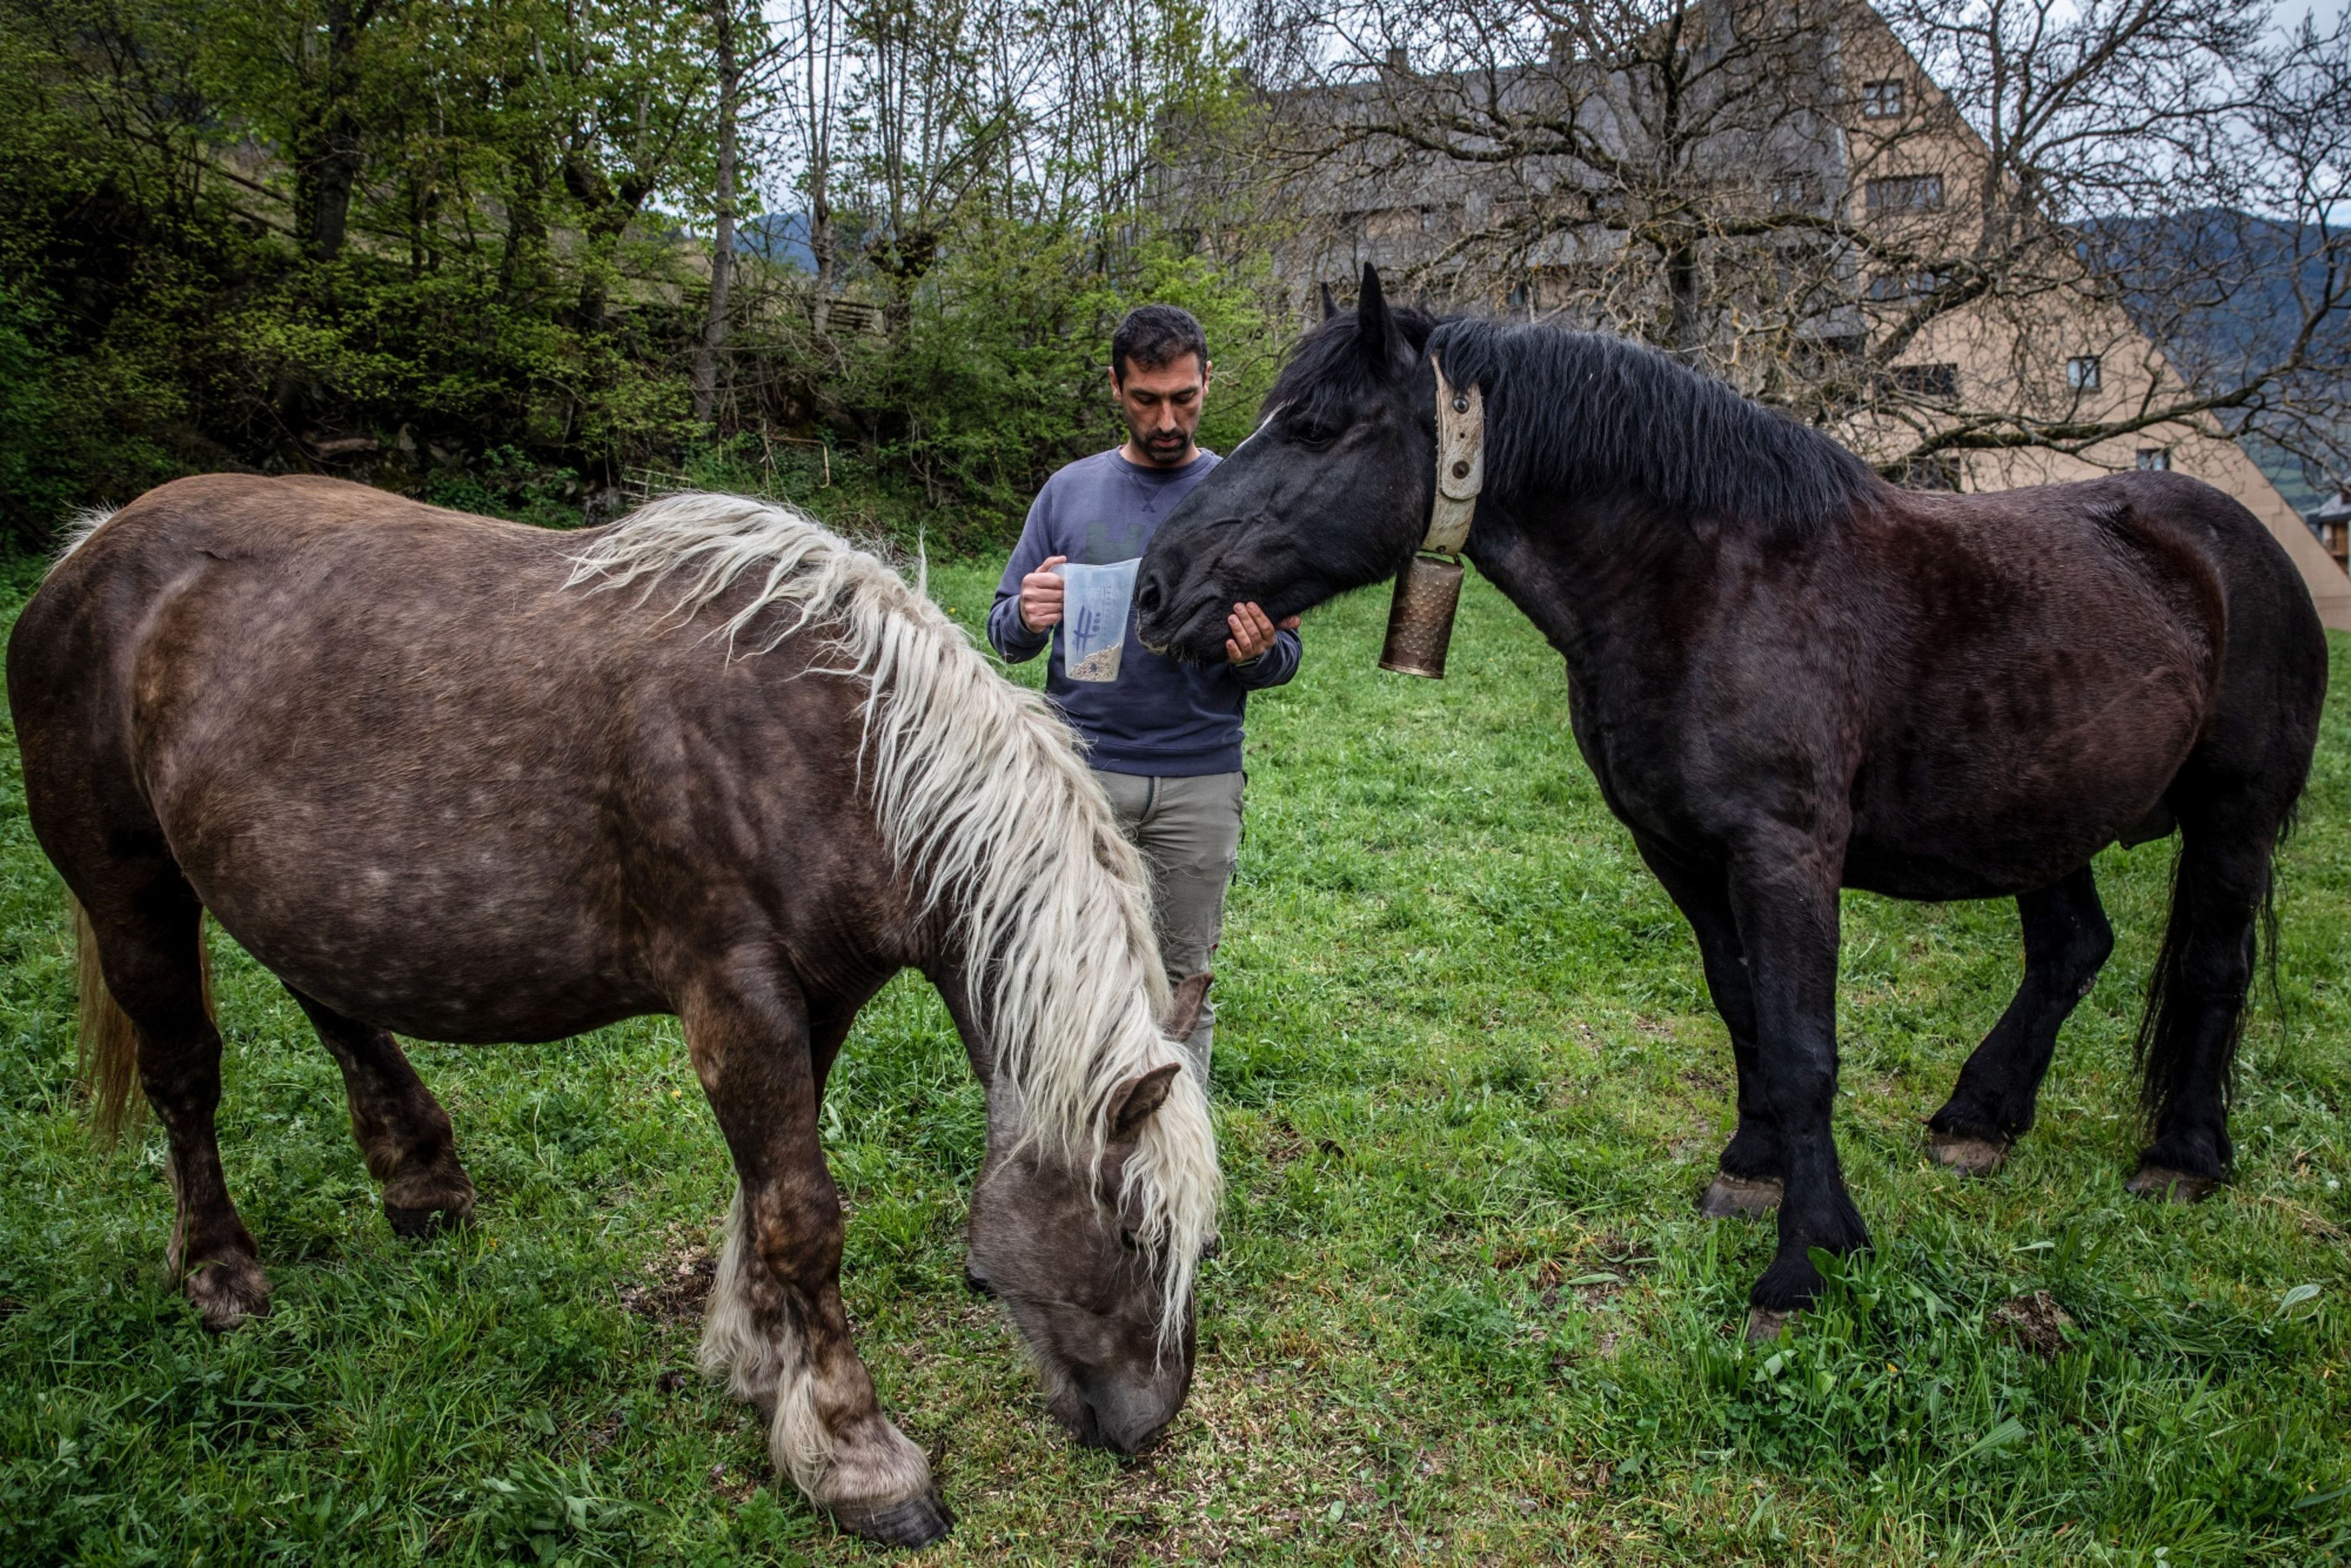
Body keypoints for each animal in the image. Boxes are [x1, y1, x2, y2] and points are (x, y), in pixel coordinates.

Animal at [1133, 266, 2313, 1335]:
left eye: (1315, 426)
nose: (1153, 589)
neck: (1704, 584)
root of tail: (2232, 538)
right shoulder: (1680, 850)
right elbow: (1743, 1009)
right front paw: (1752, 1170)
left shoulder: (1783, 856)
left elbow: (1802, 1046)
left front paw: (1805, 1262)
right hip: (2039, 821)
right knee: (2069, 949)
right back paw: (1980, 1118)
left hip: (2232, 817)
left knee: (2211, 966)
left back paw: (2182, 1155)